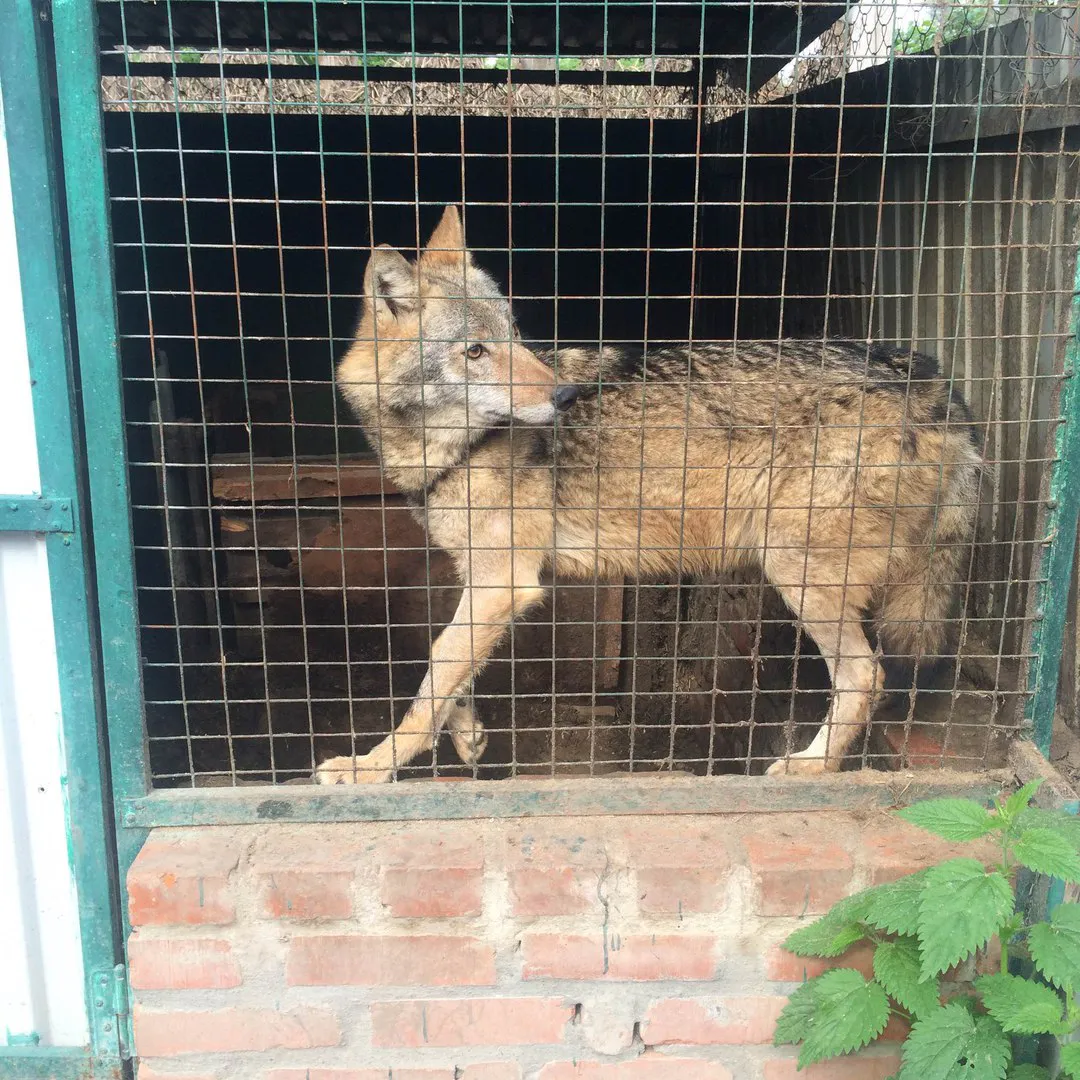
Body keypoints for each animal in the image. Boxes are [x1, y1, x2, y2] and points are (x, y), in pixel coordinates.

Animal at [317, 206, 983, 782]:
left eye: (515, 335)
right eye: (476, 350)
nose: (564, 397)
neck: (452, 451)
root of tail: (937, 386)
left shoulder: (506, 582)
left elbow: (434, 675)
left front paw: (370, 769)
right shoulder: (482, 579)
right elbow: (448, 668)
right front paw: (467, 734)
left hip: (796, 572)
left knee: (866, 676)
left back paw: (810, 767)